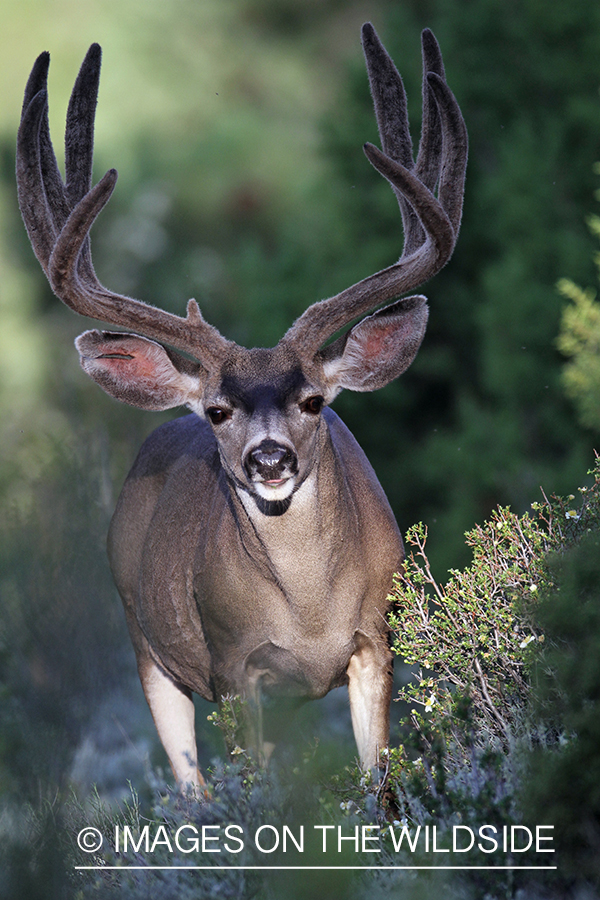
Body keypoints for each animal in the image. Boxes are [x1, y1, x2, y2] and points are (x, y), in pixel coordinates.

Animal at [17, 24, 467, 791]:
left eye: (313, 400)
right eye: (220, 412)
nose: (270, 458)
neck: (308, 614)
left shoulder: (376, 641)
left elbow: (378, 785)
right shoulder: (231, 665)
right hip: (144, 641)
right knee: (191, 787)